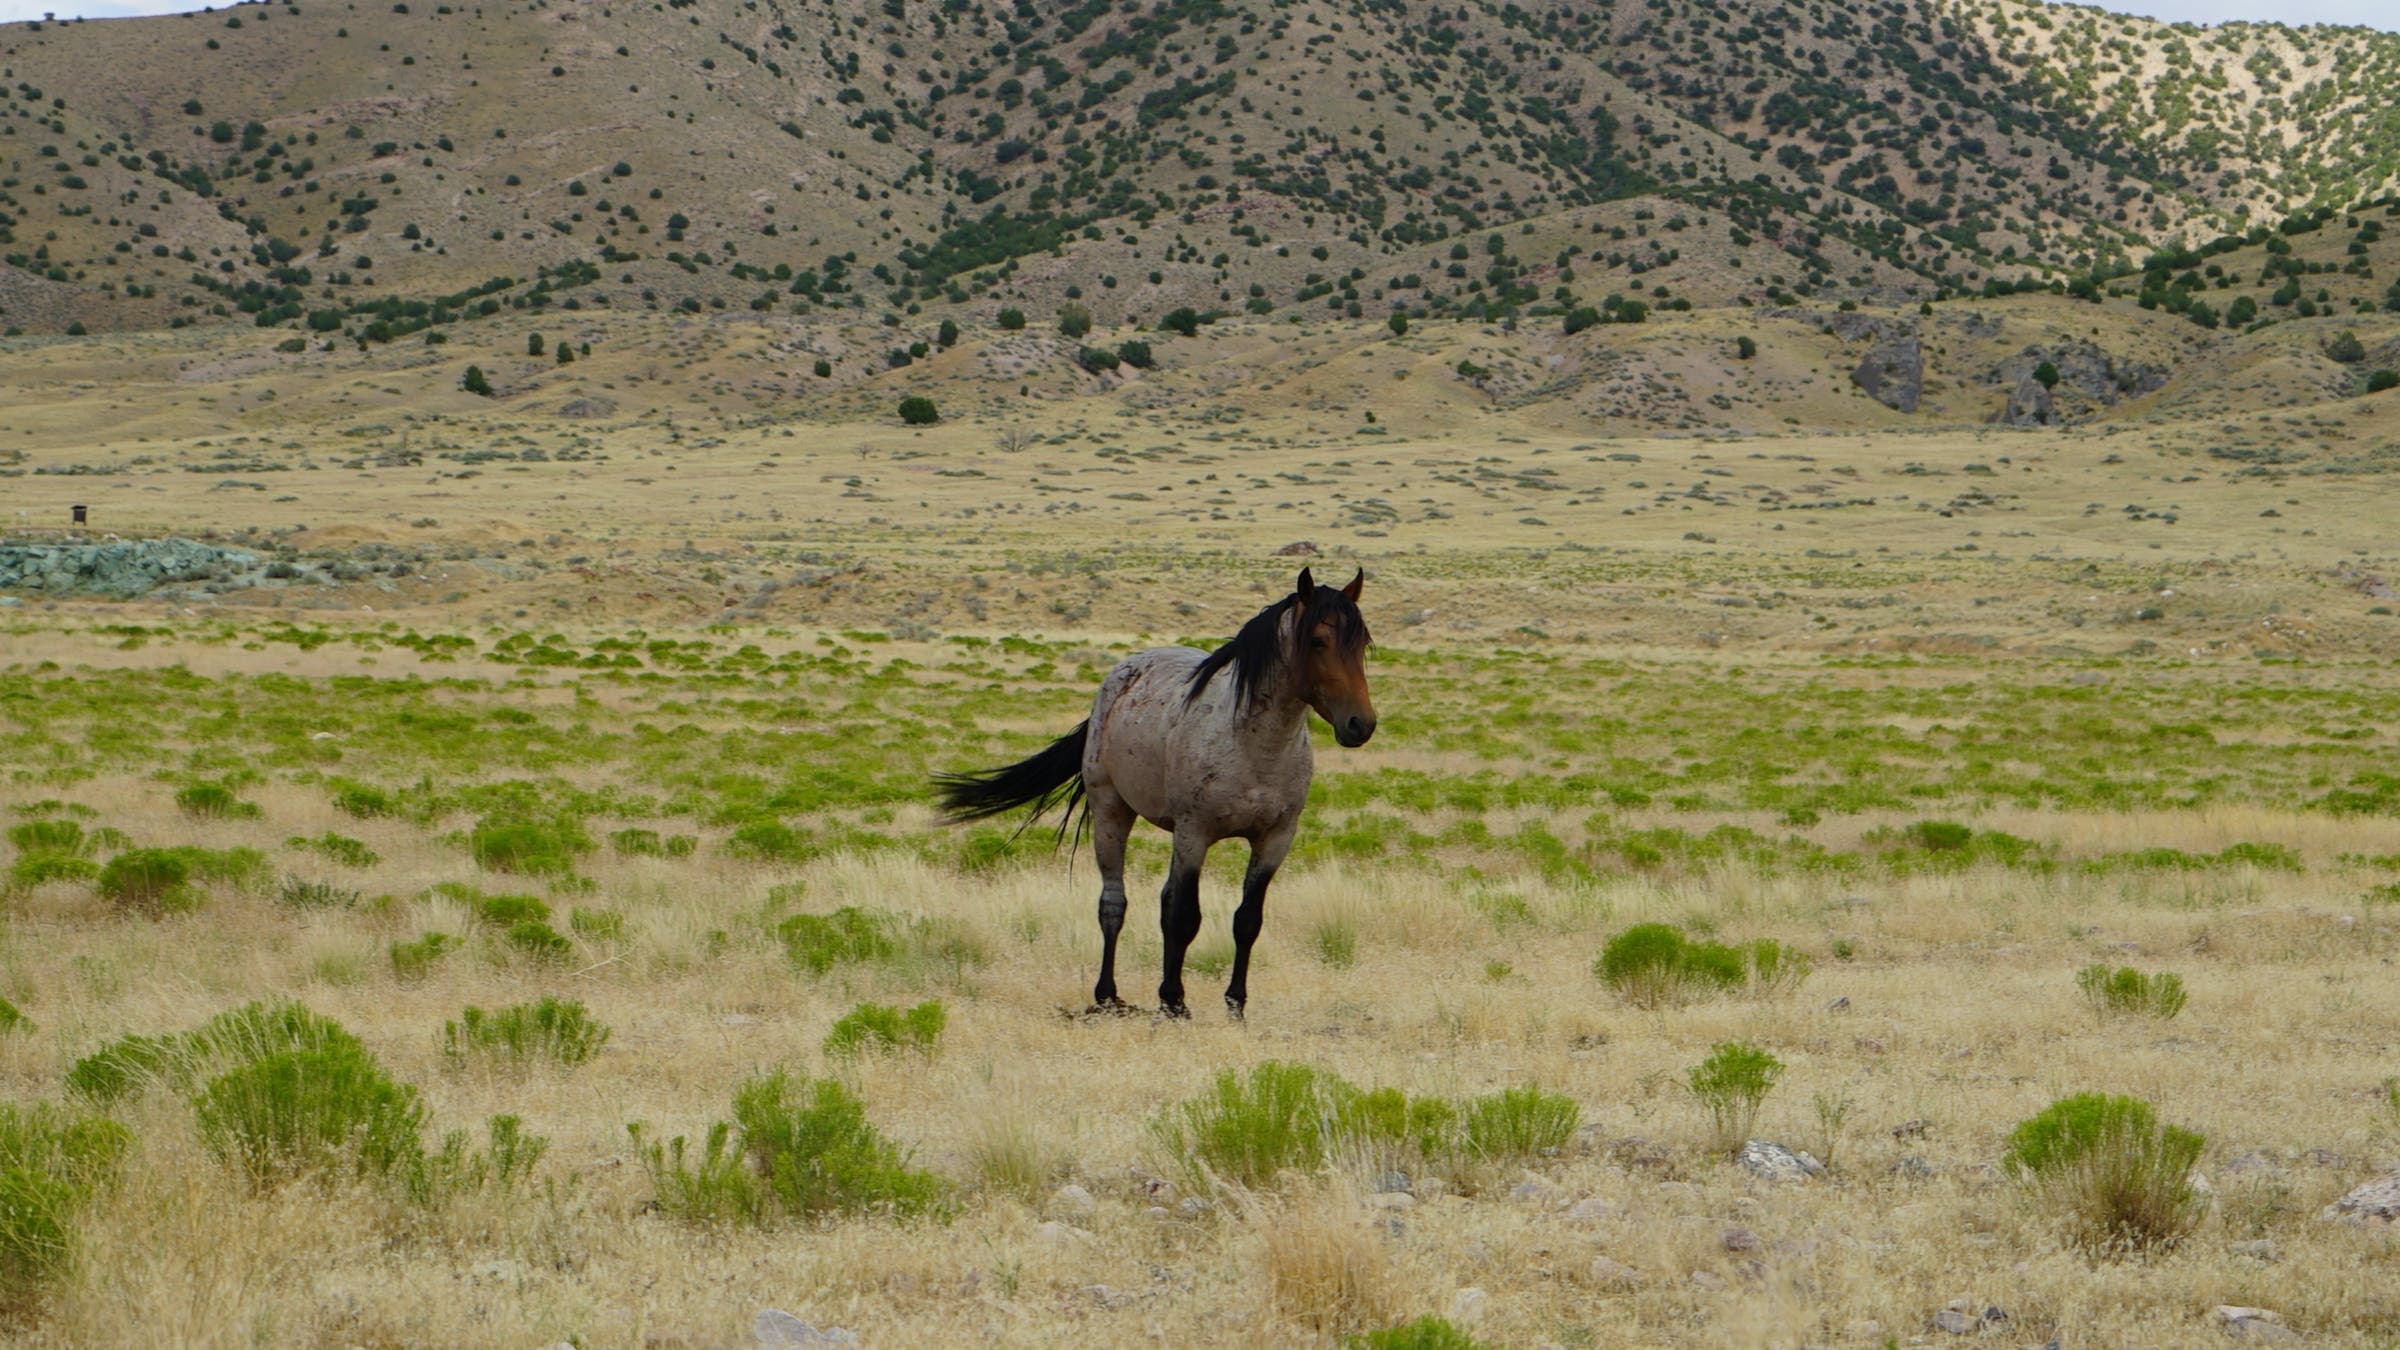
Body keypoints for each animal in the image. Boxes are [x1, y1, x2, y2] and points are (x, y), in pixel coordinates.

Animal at [934, 567, 1376, 1019]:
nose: (1360, 724)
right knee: (1114, 904)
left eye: (1362, 643)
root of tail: (1121, 674)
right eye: (1318, 640)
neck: (1255, 746)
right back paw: (1107, 994)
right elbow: (1184, 917)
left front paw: (1234, 1004)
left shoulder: (1274, 840)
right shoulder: (1194, 834)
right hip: (1111, 813)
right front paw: (1175, 1001)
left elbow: (1246, 920)